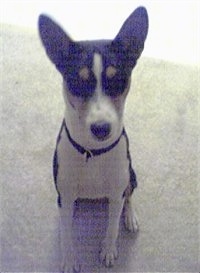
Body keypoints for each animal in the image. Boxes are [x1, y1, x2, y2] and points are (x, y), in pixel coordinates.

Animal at [38, 6, 148, 272]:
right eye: (78, 82)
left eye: (117, 81)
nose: (101, 129)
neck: (92, 153)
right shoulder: (65, 194)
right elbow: (67, 232)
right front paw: (69, 259)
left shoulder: (117, 192)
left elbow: (112, 226)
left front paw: (108, 250)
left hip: (131, 174)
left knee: (129, 195)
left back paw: (130, 217)